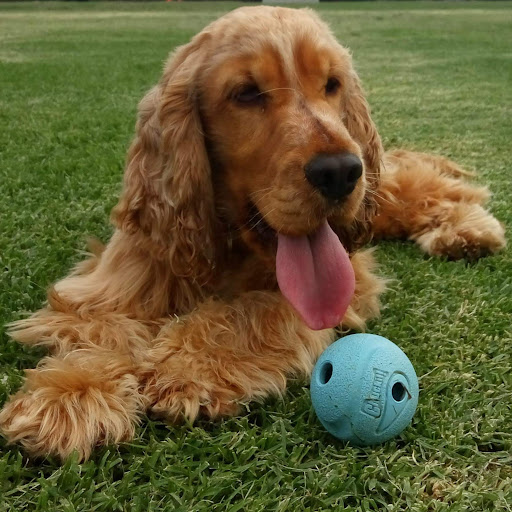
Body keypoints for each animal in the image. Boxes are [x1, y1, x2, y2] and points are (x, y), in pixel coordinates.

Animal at [0, 6, 505, 460]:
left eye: (332, 84)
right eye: (245, 94)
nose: (341, 171)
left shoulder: (338, 284)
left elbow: (253, 310)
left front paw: (188, 366)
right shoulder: (113, 280)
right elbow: (104, 329)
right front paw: (68, 398)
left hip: (379, 191)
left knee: (430, 187)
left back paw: (468, 231)